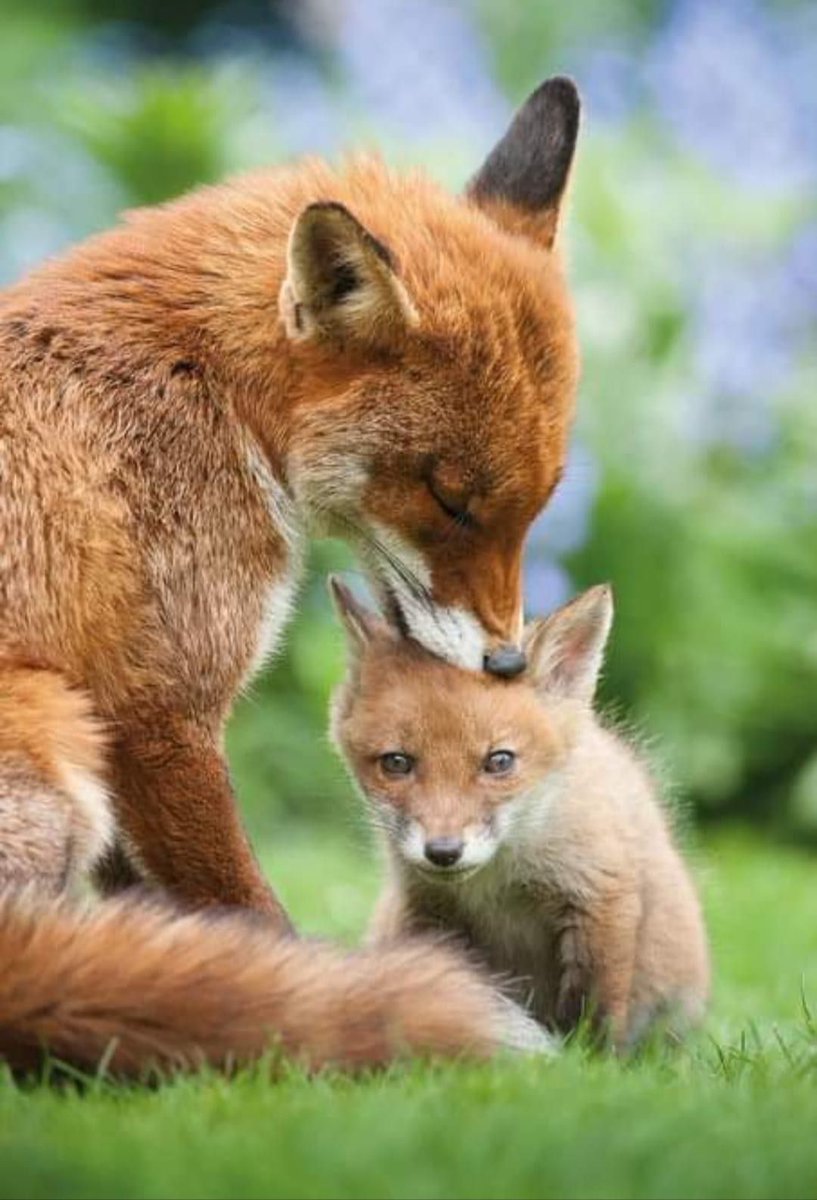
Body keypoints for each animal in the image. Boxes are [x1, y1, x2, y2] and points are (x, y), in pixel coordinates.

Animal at [0, 77, 581, 924]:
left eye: (540, 505)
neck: (211, 392)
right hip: (53, 732)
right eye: (448, 500)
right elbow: (253, 917)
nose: (506, 663)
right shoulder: (159, 718)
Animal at [330, 578, 710, 1050]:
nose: (443, 851)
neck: (498, 882)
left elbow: (595, 1009)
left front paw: (590, 1062)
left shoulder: (599, 895)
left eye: (499, 761)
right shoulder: (427, 907)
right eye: (397, 763)